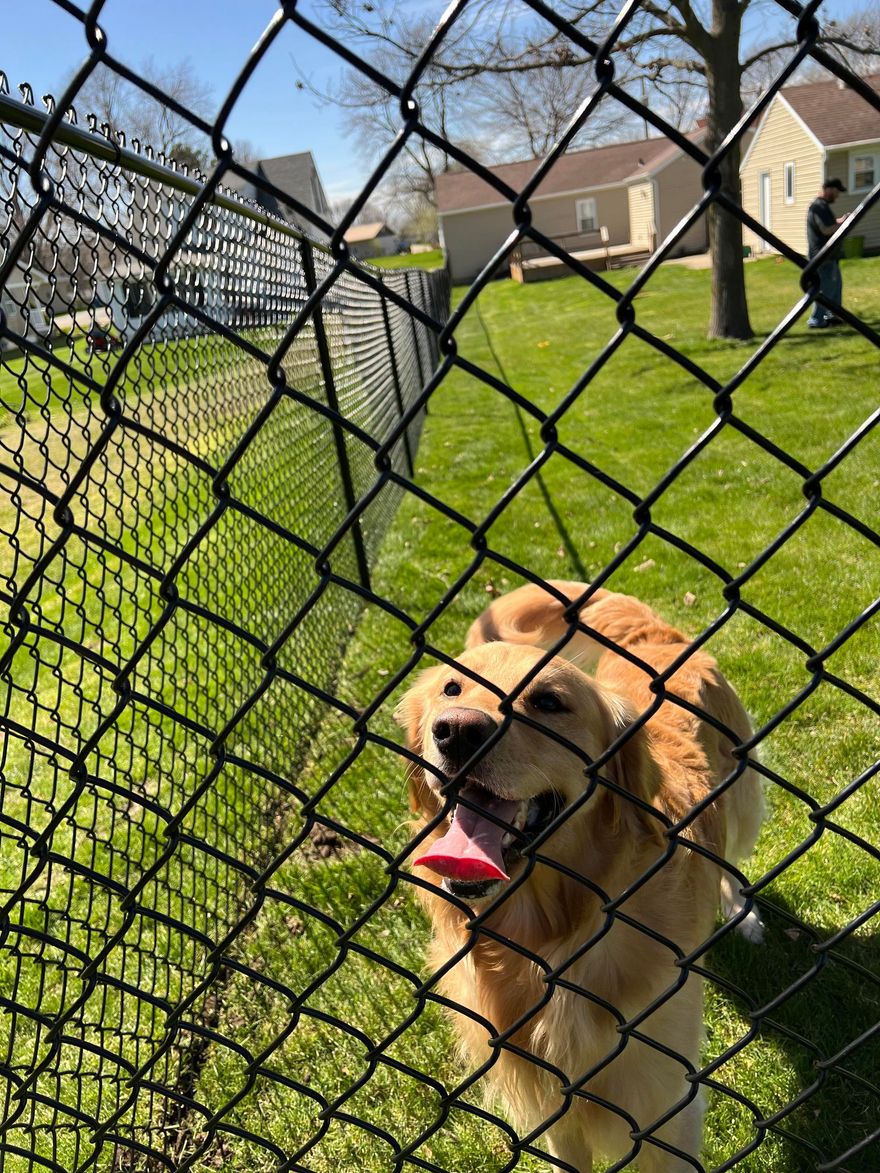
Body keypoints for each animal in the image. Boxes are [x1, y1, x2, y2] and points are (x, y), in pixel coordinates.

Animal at [398, 581, 765, 1173]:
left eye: (549, 702)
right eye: (451, 689)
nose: (456, 731)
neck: (547, 938)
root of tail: (662, 639)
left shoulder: (665, 1100)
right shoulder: (556, 1105)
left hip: (743, 794)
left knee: (735, 856)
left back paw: (743, 914)